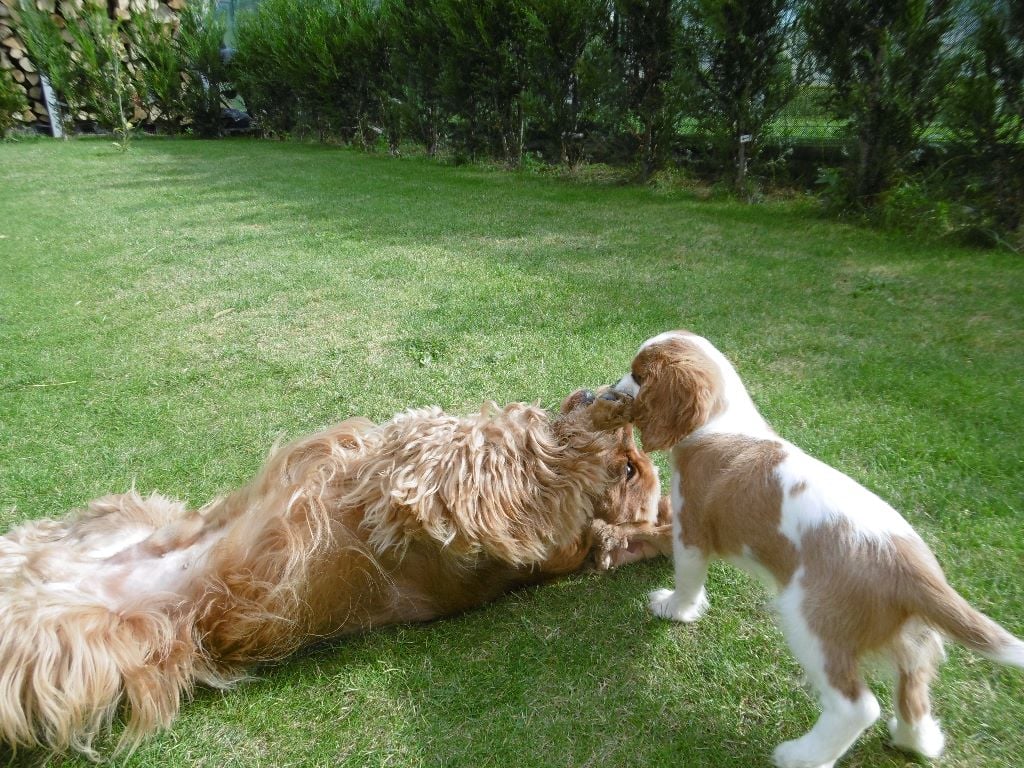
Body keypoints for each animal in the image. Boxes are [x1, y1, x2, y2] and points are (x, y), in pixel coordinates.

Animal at [0, 393, 667, 761]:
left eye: (632, 470)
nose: (632, 429)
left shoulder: (471, 503)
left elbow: (483, 457)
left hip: (60, 639)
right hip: (118, 520)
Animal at [614, 331, 1024, 768]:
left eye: (639, 376)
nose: (615, 391)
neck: (721, 422)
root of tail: (912, 569)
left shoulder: (691, 529)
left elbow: (688, 579)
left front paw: (674, 608)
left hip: (813, 622)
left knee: (857, 707)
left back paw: (801, 755)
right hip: (911, 638)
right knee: (912, 687)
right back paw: (917, 740)